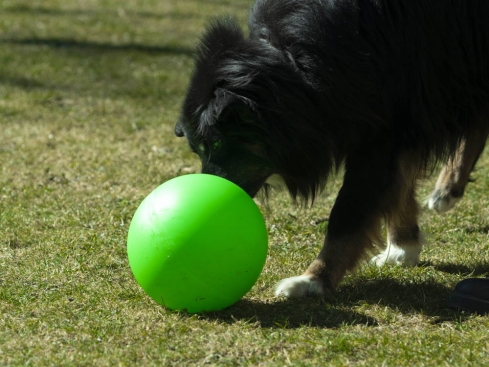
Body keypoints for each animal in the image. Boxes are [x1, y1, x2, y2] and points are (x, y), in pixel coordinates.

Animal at [173, 0, 486, 298]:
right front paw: (402, 247)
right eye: (197, 150)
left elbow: (347, 212)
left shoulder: (383, 131)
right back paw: (447, 190)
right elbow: (398, 191)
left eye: (216, 143)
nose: (203, 198)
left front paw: (312, 281)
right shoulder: (400, 120)